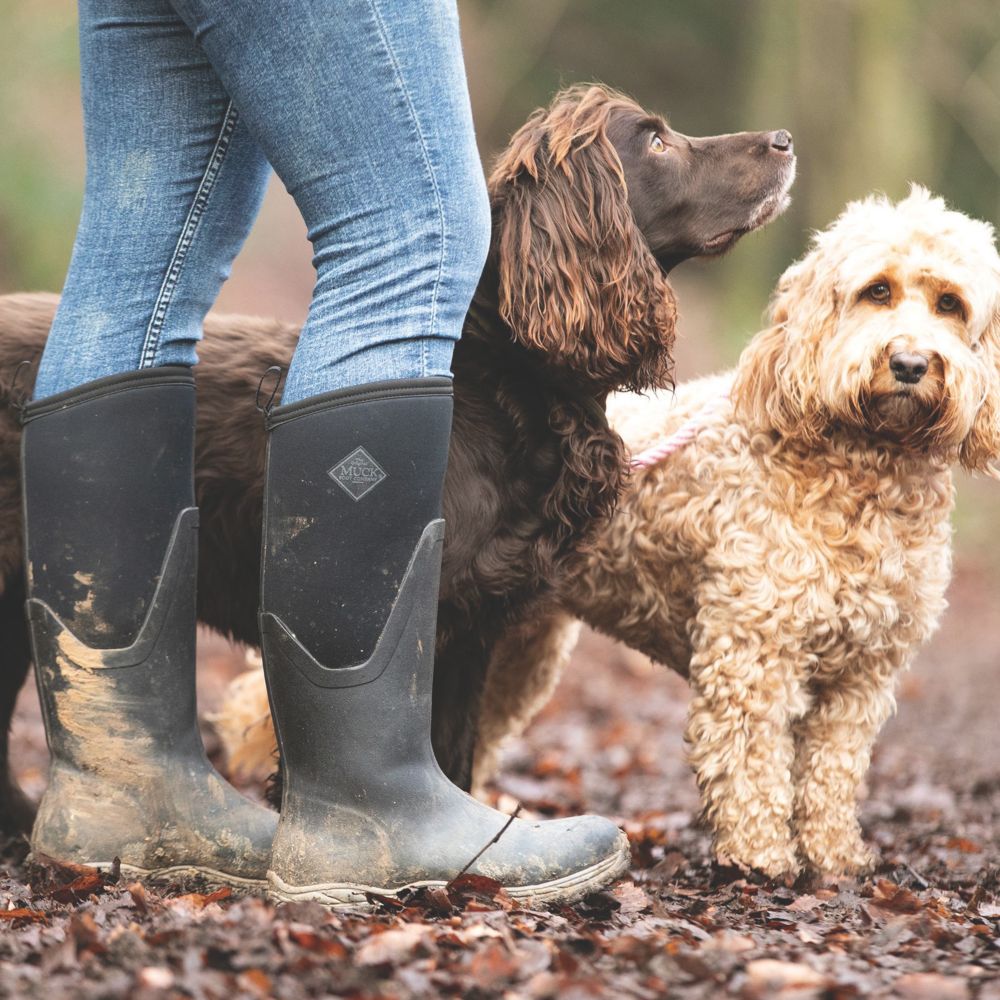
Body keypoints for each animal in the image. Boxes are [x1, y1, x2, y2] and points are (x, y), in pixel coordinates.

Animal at [0, 84, 796, 820]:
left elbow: (455, 757)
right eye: (656, 141)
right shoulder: (422, 613)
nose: (785, 139)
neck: (500, 378)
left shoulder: (474, 627)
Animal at [474, 186, 1000, 876]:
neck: (867, 474)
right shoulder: (753, 649)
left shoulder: (865, 674)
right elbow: (751, 757)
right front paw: (760, 855)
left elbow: (834, 768)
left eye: (950, 304)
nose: (911, 362)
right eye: (877, 291)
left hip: (522, 648)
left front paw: (834, 854)